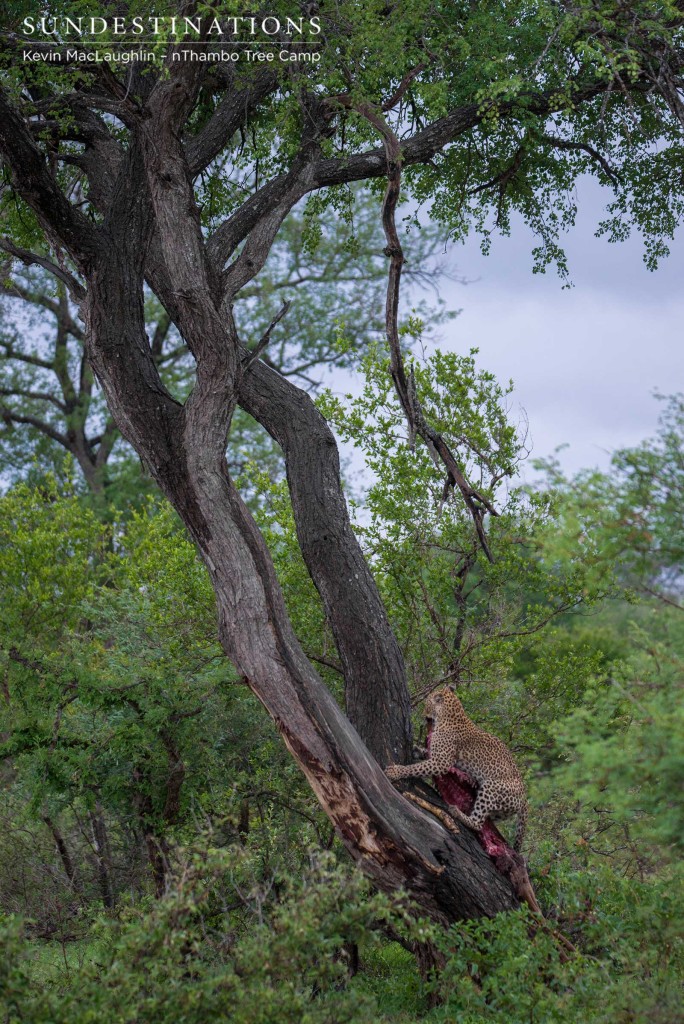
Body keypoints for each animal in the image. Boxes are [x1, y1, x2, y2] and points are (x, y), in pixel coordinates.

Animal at [387, 688, 528, 856]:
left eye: (426, 703)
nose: (423, 714)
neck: (449, 715)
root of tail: (525, 799)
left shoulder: (441, 762)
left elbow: (415, 768)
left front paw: (395, 771)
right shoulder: (438, 757)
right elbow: (425, 756)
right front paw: (416, 750)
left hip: (492, 787)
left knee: (478, 823)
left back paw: (457, 812)